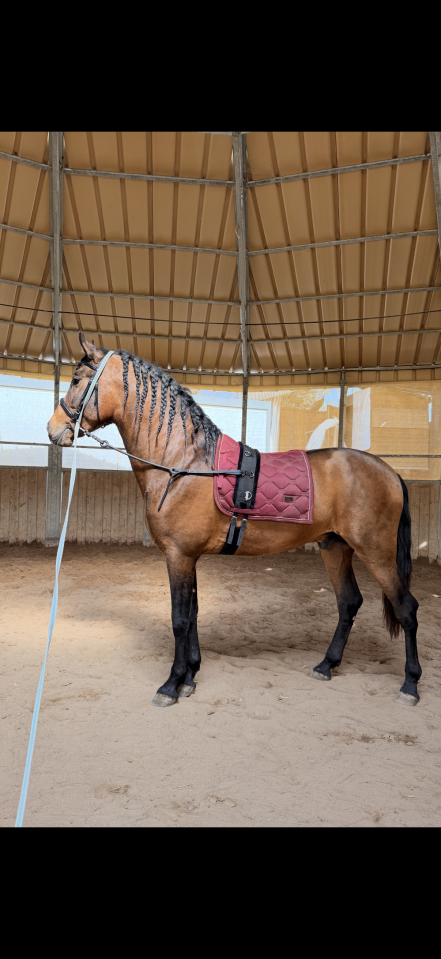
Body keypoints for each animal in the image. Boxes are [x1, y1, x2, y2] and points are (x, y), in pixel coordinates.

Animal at [47, 332, 421, 709]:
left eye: (76, 380)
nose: (53, 430)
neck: (184, 462)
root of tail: (390, 472)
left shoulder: (178, 555)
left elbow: (180, 619)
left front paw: (171, 685)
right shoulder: (189, 557)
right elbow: (194, 613)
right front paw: (190, 677)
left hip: (376, 553)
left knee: (406, 608)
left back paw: (410, 685)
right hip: (335, 547)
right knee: (348, 602)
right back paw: (326, 665)